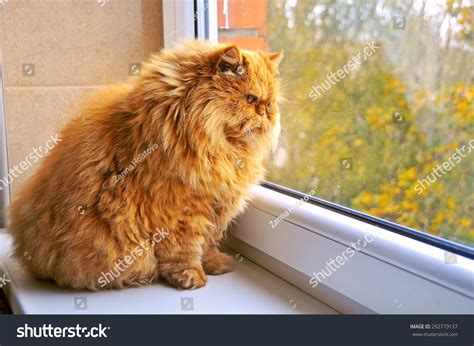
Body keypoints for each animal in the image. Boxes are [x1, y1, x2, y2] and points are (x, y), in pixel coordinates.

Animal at [8, 39, 282, 290]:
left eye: (269, 103)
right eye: (251, 99)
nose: (265, 113)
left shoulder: (218, 206)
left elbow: (209, 244)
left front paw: (216, 265)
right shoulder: (181, 213)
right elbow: (184, 252)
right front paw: (192, 277)